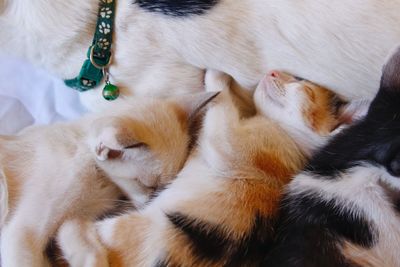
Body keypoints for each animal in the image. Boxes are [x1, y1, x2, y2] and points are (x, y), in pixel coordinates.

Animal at [0, 92, 219, 267]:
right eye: (146, 185)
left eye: (166, 186)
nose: (151, 204)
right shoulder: (23, 233)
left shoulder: (74, 220)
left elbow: (91, 252)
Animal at [59, 71, 366, 267]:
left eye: (303, 88)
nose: (274, 72)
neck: (287, 136)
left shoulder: (232, 145)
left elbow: (222, 107)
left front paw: (218, 77)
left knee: (78, 239)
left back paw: (73, 230)